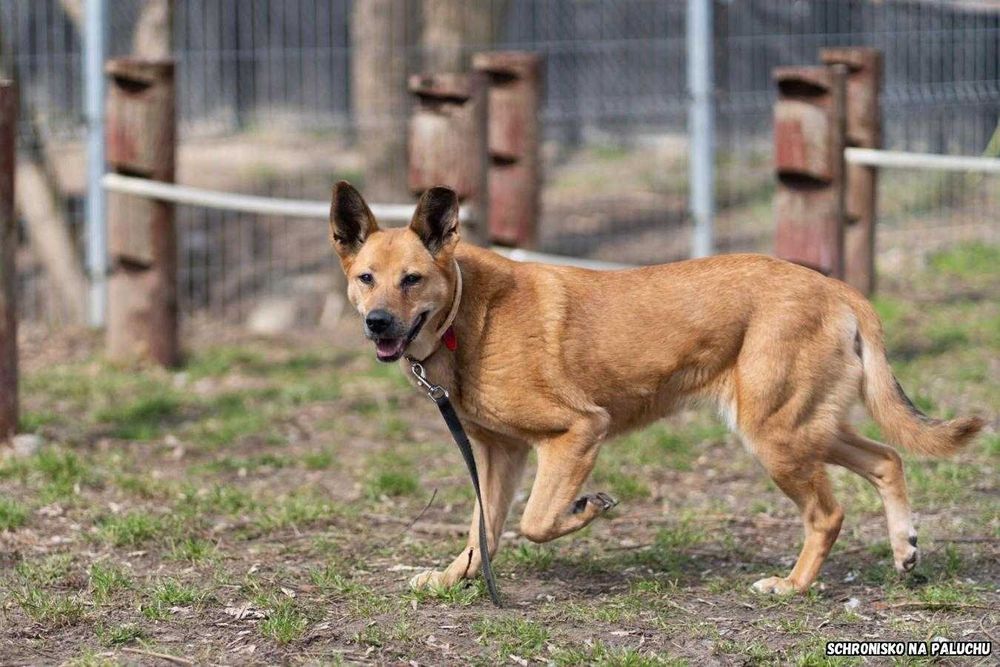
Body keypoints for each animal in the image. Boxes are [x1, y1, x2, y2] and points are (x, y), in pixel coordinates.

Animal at [328, 180, 984, 592]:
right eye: (367, 279)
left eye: (412, 280)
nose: (377, 323)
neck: (466, 318)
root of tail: (840, 289)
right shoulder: (498, 455)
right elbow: (480, 532)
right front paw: (450, 580)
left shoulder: (577, 431)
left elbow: (535, 522)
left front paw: (586, 508)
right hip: (803, 428)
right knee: (888, 459)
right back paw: (905, 548)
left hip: (776, 438)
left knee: (828, 513)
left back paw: (793, 586)